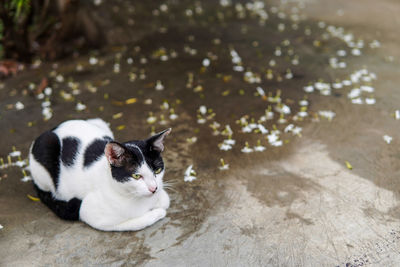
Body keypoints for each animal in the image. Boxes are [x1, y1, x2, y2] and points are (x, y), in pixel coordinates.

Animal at [28, 119, 170, 232]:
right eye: (136, 176)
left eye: (157, 170)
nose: (153, 188)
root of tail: (52, 129)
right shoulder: (90, 213)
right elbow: (134, 222)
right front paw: (157, 213)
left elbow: (165, 200)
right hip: (46, 149)